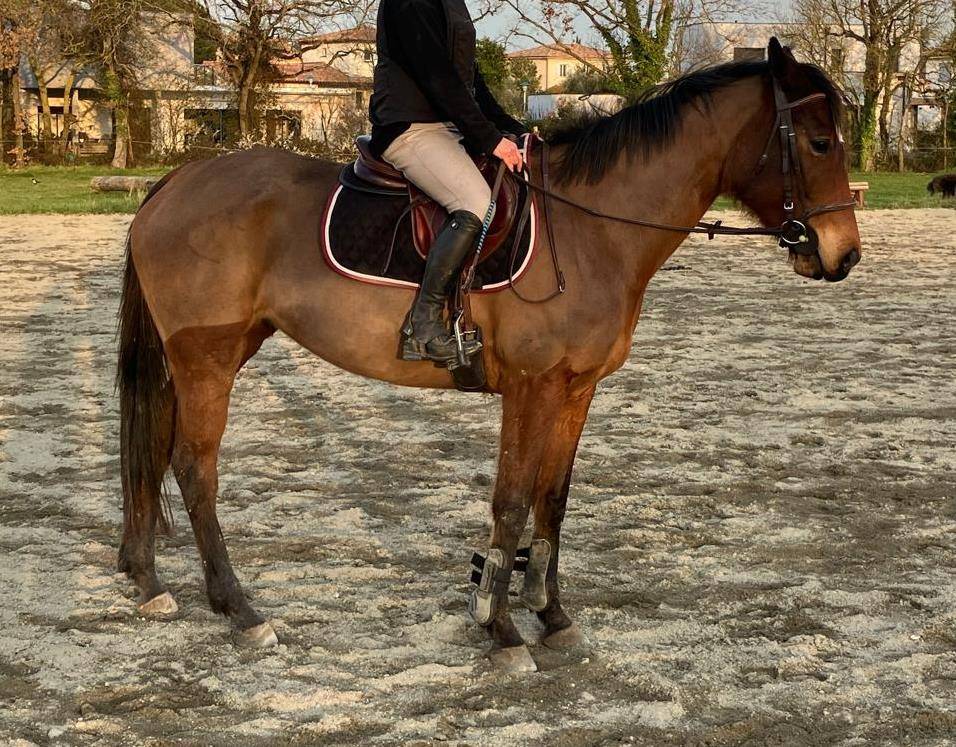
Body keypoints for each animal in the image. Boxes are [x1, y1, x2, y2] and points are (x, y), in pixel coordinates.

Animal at [117, 39, 861, 672]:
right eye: (821, 141)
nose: (844, 255)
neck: (590, 226)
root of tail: (177, 180)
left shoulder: (577, 388)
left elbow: (552, 499)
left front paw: (552, 615)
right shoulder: (533, 387)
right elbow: (510, 501)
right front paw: (499, 628)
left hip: (214, 354)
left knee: (154, 450)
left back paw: (149, 582)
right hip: (208, 358)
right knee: (195, 467)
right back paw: (240, 610)